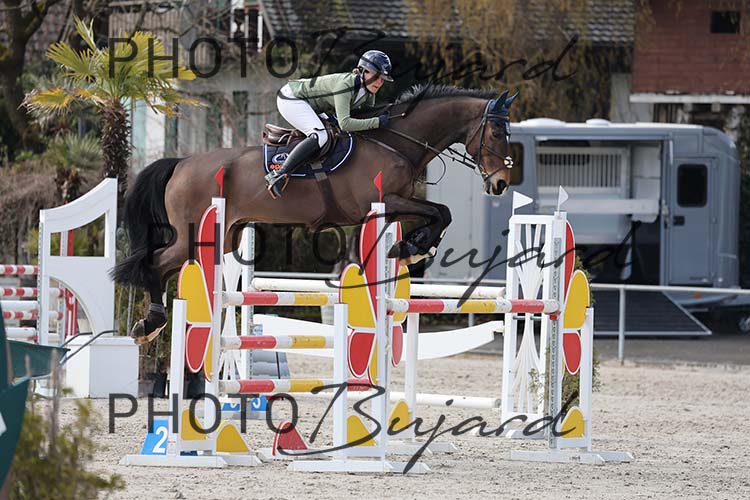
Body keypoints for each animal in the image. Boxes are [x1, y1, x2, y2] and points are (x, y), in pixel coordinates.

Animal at [112, 84, 519, 343]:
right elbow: (441, 211)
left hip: (222, 236)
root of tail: (181, 162)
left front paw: (412, 247)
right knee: (155, 263)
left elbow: (438, 214)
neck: (395, 141)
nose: (500, 183)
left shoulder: (392, 205)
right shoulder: (382, 201)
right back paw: (151, 323)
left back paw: (151, 322)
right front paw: (414, 248)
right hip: (195, 234)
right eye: (497, 133)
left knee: (163, 265)